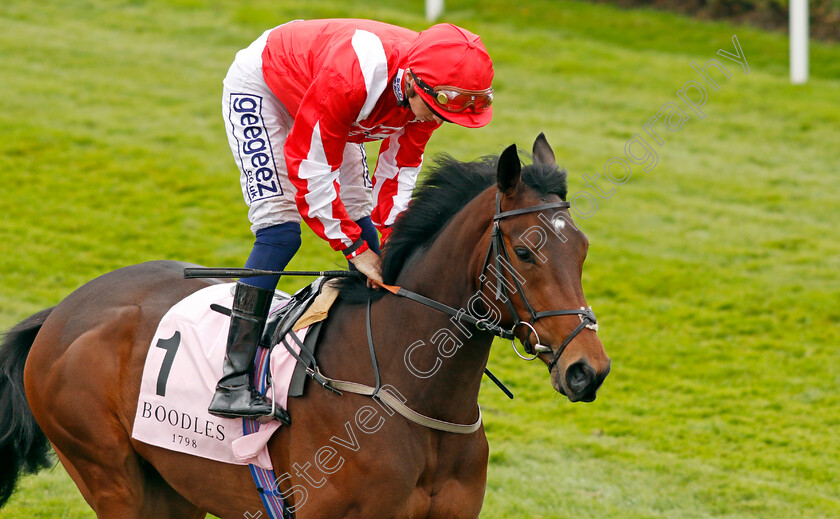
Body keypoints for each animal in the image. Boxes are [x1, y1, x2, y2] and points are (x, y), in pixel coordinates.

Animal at [0, 135, 608, 519]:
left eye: (582, 250)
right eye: (526, 252)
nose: (589, 370)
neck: (415, 396)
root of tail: (60, 313)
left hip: (175, 490)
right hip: (114, 480)